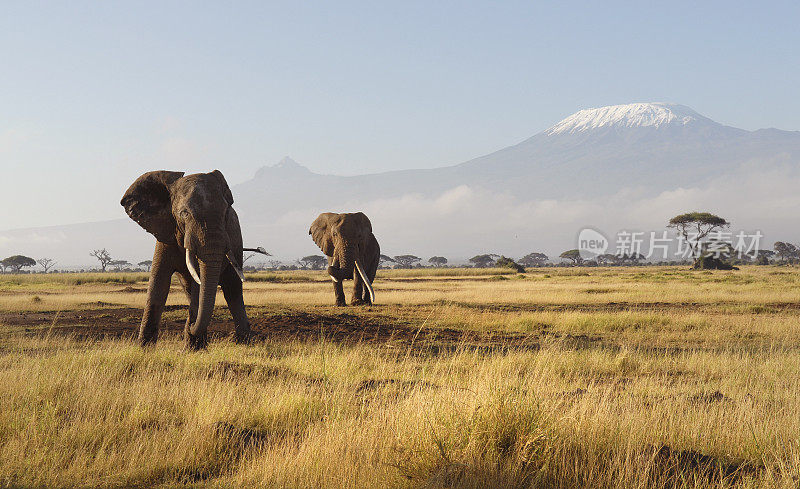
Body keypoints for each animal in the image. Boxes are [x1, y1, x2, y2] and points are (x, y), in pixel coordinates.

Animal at [120, 170, 253, 348]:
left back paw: (242, 341)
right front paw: (143, 349)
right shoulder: (166, 234)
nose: (190, 326)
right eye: (184, 214)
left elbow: (199, 284)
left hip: (237, 246)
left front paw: (192, 347)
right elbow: (158, 283)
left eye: (226, 213)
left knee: (233, 289)